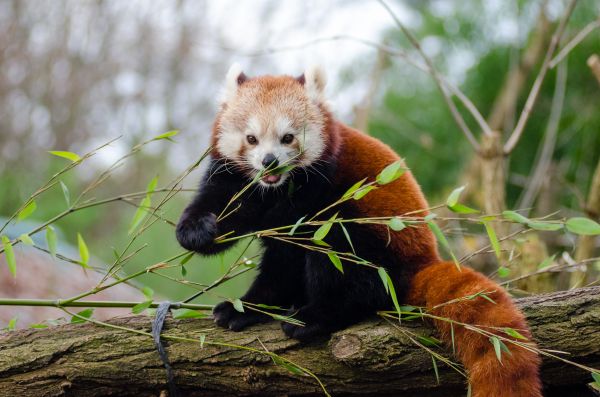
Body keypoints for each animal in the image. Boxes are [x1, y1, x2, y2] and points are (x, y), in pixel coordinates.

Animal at [176, 63, 540, 394]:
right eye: (251, 139)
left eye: (288, 138)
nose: (269, 162)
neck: (276, 189)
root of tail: (423, 261)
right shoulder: (235, 178)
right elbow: (224, 208)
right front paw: (198, 232)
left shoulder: (316, 191)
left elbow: (291, 257)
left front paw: (262, 306)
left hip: (374, 238)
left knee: (346, 264)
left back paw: (316, 315)